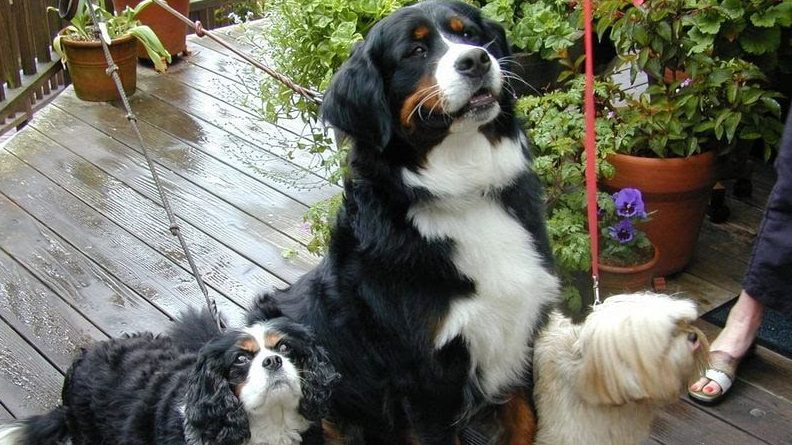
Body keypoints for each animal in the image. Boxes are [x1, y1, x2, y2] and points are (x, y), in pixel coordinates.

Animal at [251, 1, 560, 442]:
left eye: (469, 35)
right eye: (415, 52)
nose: (476, 60)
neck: (462, 189)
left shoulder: (517, 341)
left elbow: (526, 421)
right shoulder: (425, 381)